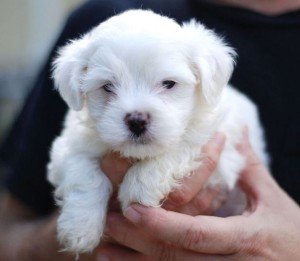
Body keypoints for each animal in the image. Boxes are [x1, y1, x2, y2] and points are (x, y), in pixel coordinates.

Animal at [47, 10, 268, 254]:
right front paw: (79, 228)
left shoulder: (223, 149)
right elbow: (84, 174)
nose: (137, 120)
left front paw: (138, 186)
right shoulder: (70, 144)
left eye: (169, 83)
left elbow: (183, 145)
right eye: (107, 87)